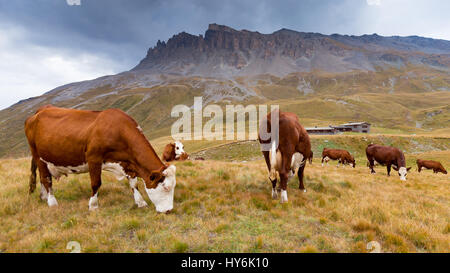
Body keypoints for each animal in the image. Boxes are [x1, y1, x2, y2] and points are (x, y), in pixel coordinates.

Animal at [24, 104, 176, 212]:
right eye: (165, 187)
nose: (169, 210)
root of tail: (39, 111)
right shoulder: (93, 158)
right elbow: (96, 183)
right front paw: (93, 206)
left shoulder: (127, 162)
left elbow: (133, 183)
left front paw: (140, 202)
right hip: (38, 155)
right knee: (46, 178)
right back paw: (52, 202)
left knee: (43, 178)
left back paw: (44, 197)